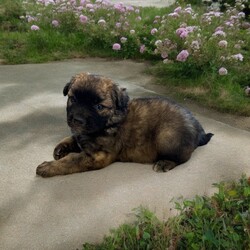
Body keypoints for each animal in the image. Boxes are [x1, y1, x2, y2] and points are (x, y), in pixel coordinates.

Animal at [36, 73, 213, 178]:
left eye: (99, 106)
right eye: (73, 99)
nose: (77, 120)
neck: (109, 121)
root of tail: (199, 129)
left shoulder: (98, 156)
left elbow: (71, 160)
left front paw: (48, 167)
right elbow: (73, 137)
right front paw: (61, 148)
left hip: (166, 136)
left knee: (184, 157)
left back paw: (164, 163)